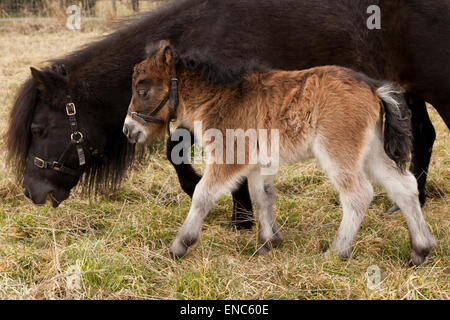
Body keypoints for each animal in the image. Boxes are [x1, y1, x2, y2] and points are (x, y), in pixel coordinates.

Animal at [5, 1, 448, 229]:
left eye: (39, 128)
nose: (31, 191)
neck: (194, 37)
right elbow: (178, 151)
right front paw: (240, 211)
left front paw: (236, 214)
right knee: (422, 135)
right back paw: (410, 202)